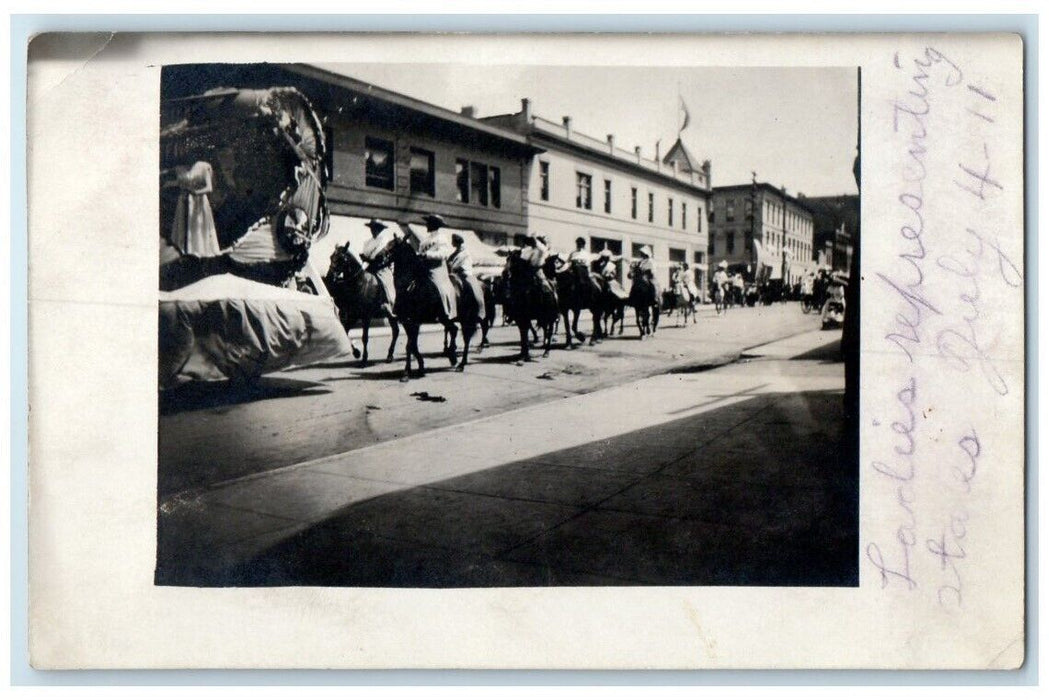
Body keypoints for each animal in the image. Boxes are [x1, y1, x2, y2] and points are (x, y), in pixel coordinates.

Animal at [388, 232, 480, 379]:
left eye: (391, 247)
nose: (376, 260)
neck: (410, 286)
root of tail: (465, 282)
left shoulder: (414, 322)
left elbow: (410, 346)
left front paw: (406, 373)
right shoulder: (407, 322)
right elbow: (413, 346)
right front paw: (420, 367)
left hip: (465, 317)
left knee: (466, 337)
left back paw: (460, 364)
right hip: (445, 317)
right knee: (454, 329)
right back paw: (452, 356)